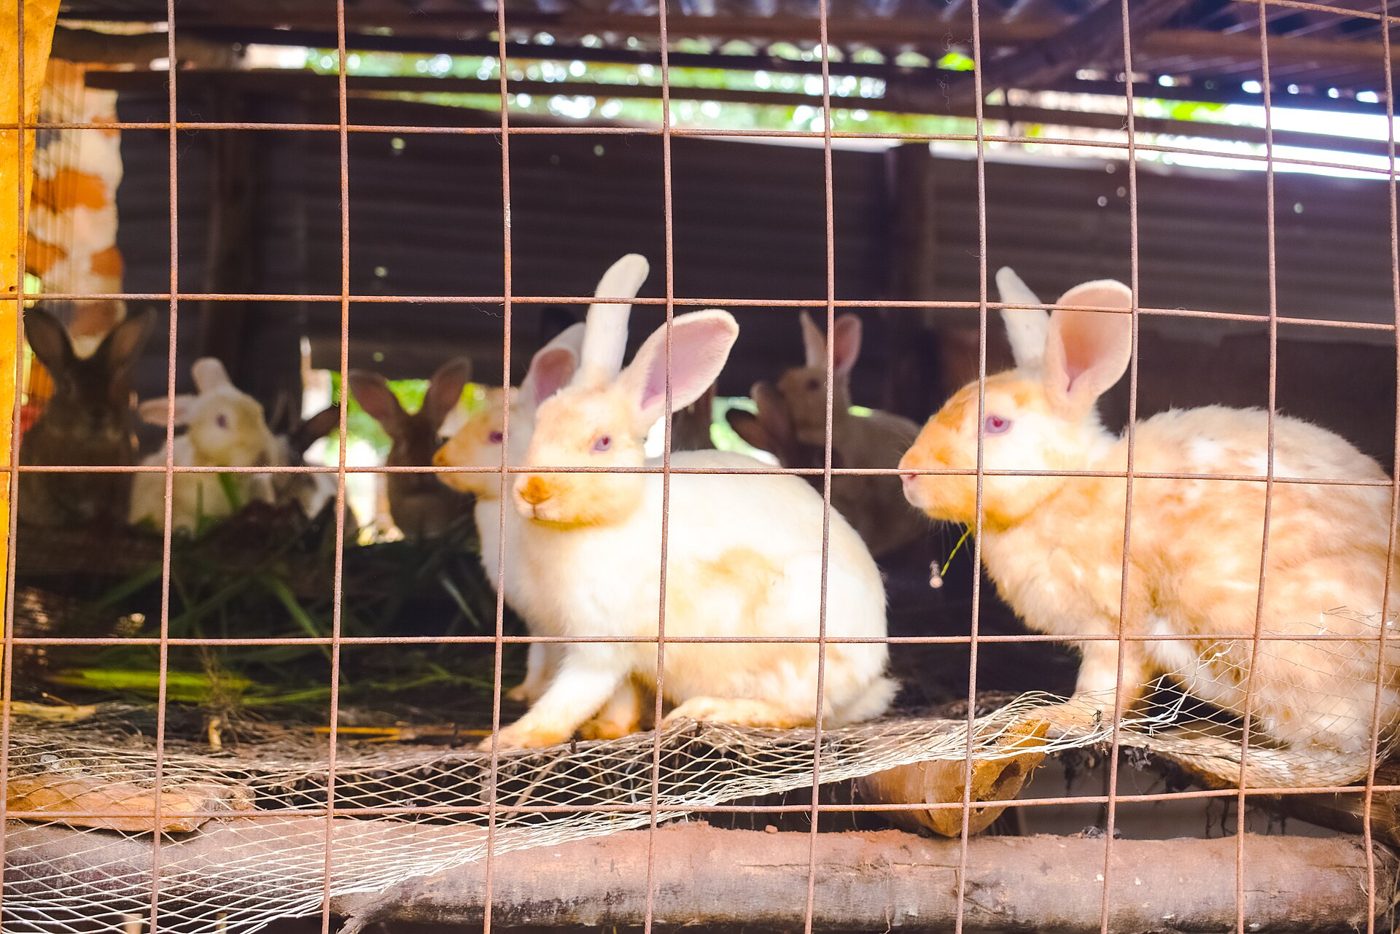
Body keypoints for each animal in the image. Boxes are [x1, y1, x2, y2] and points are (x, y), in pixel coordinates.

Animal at [490, 304, 896, 750]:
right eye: (539, 427)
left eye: (603, 443)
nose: (533, 490)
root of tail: (870, 678)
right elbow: (620, 698)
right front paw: (606, 730)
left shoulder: (599, 645)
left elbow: (568, 698)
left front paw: (506, 739)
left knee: (801, 711)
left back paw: (706, 709)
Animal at [898, 266, 1400, 785]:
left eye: (997, 423)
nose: (907, 473)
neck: (1062, 489)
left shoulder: (1111, 624)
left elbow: (1104, 687)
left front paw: (1057, 718)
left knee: (1343, 754)